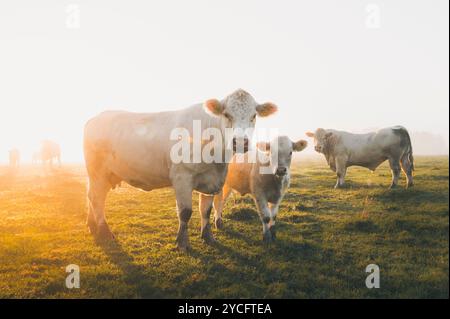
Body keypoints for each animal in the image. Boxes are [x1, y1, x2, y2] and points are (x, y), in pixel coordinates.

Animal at [82, 89, 276, 251]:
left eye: (253, 116)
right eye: (227, 114)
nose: (240, 142)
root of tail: (96, 117)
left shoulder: (212, 181)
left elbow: (205, 210)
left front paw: (208, 236)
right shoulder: (182, 177)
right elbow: (185, 212)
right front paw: (182, 242)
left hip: (104, 174)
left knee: (93, 196)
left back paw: (92, 225)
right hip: (97, 171)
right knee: (97, 198)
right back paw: (104, 231)